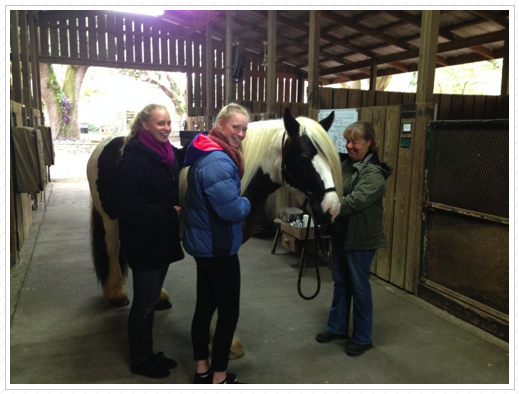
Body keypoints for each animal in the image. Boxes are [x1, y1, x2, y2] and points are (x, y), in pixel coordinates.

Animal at [87, 109, 344, 352]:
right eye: (303, 158)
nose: (331, 210)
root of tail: (109, 143)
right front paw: (222, 341)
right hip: (110, 219)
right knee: (113, 247)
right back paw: (117, 293)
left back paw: (158, 297)